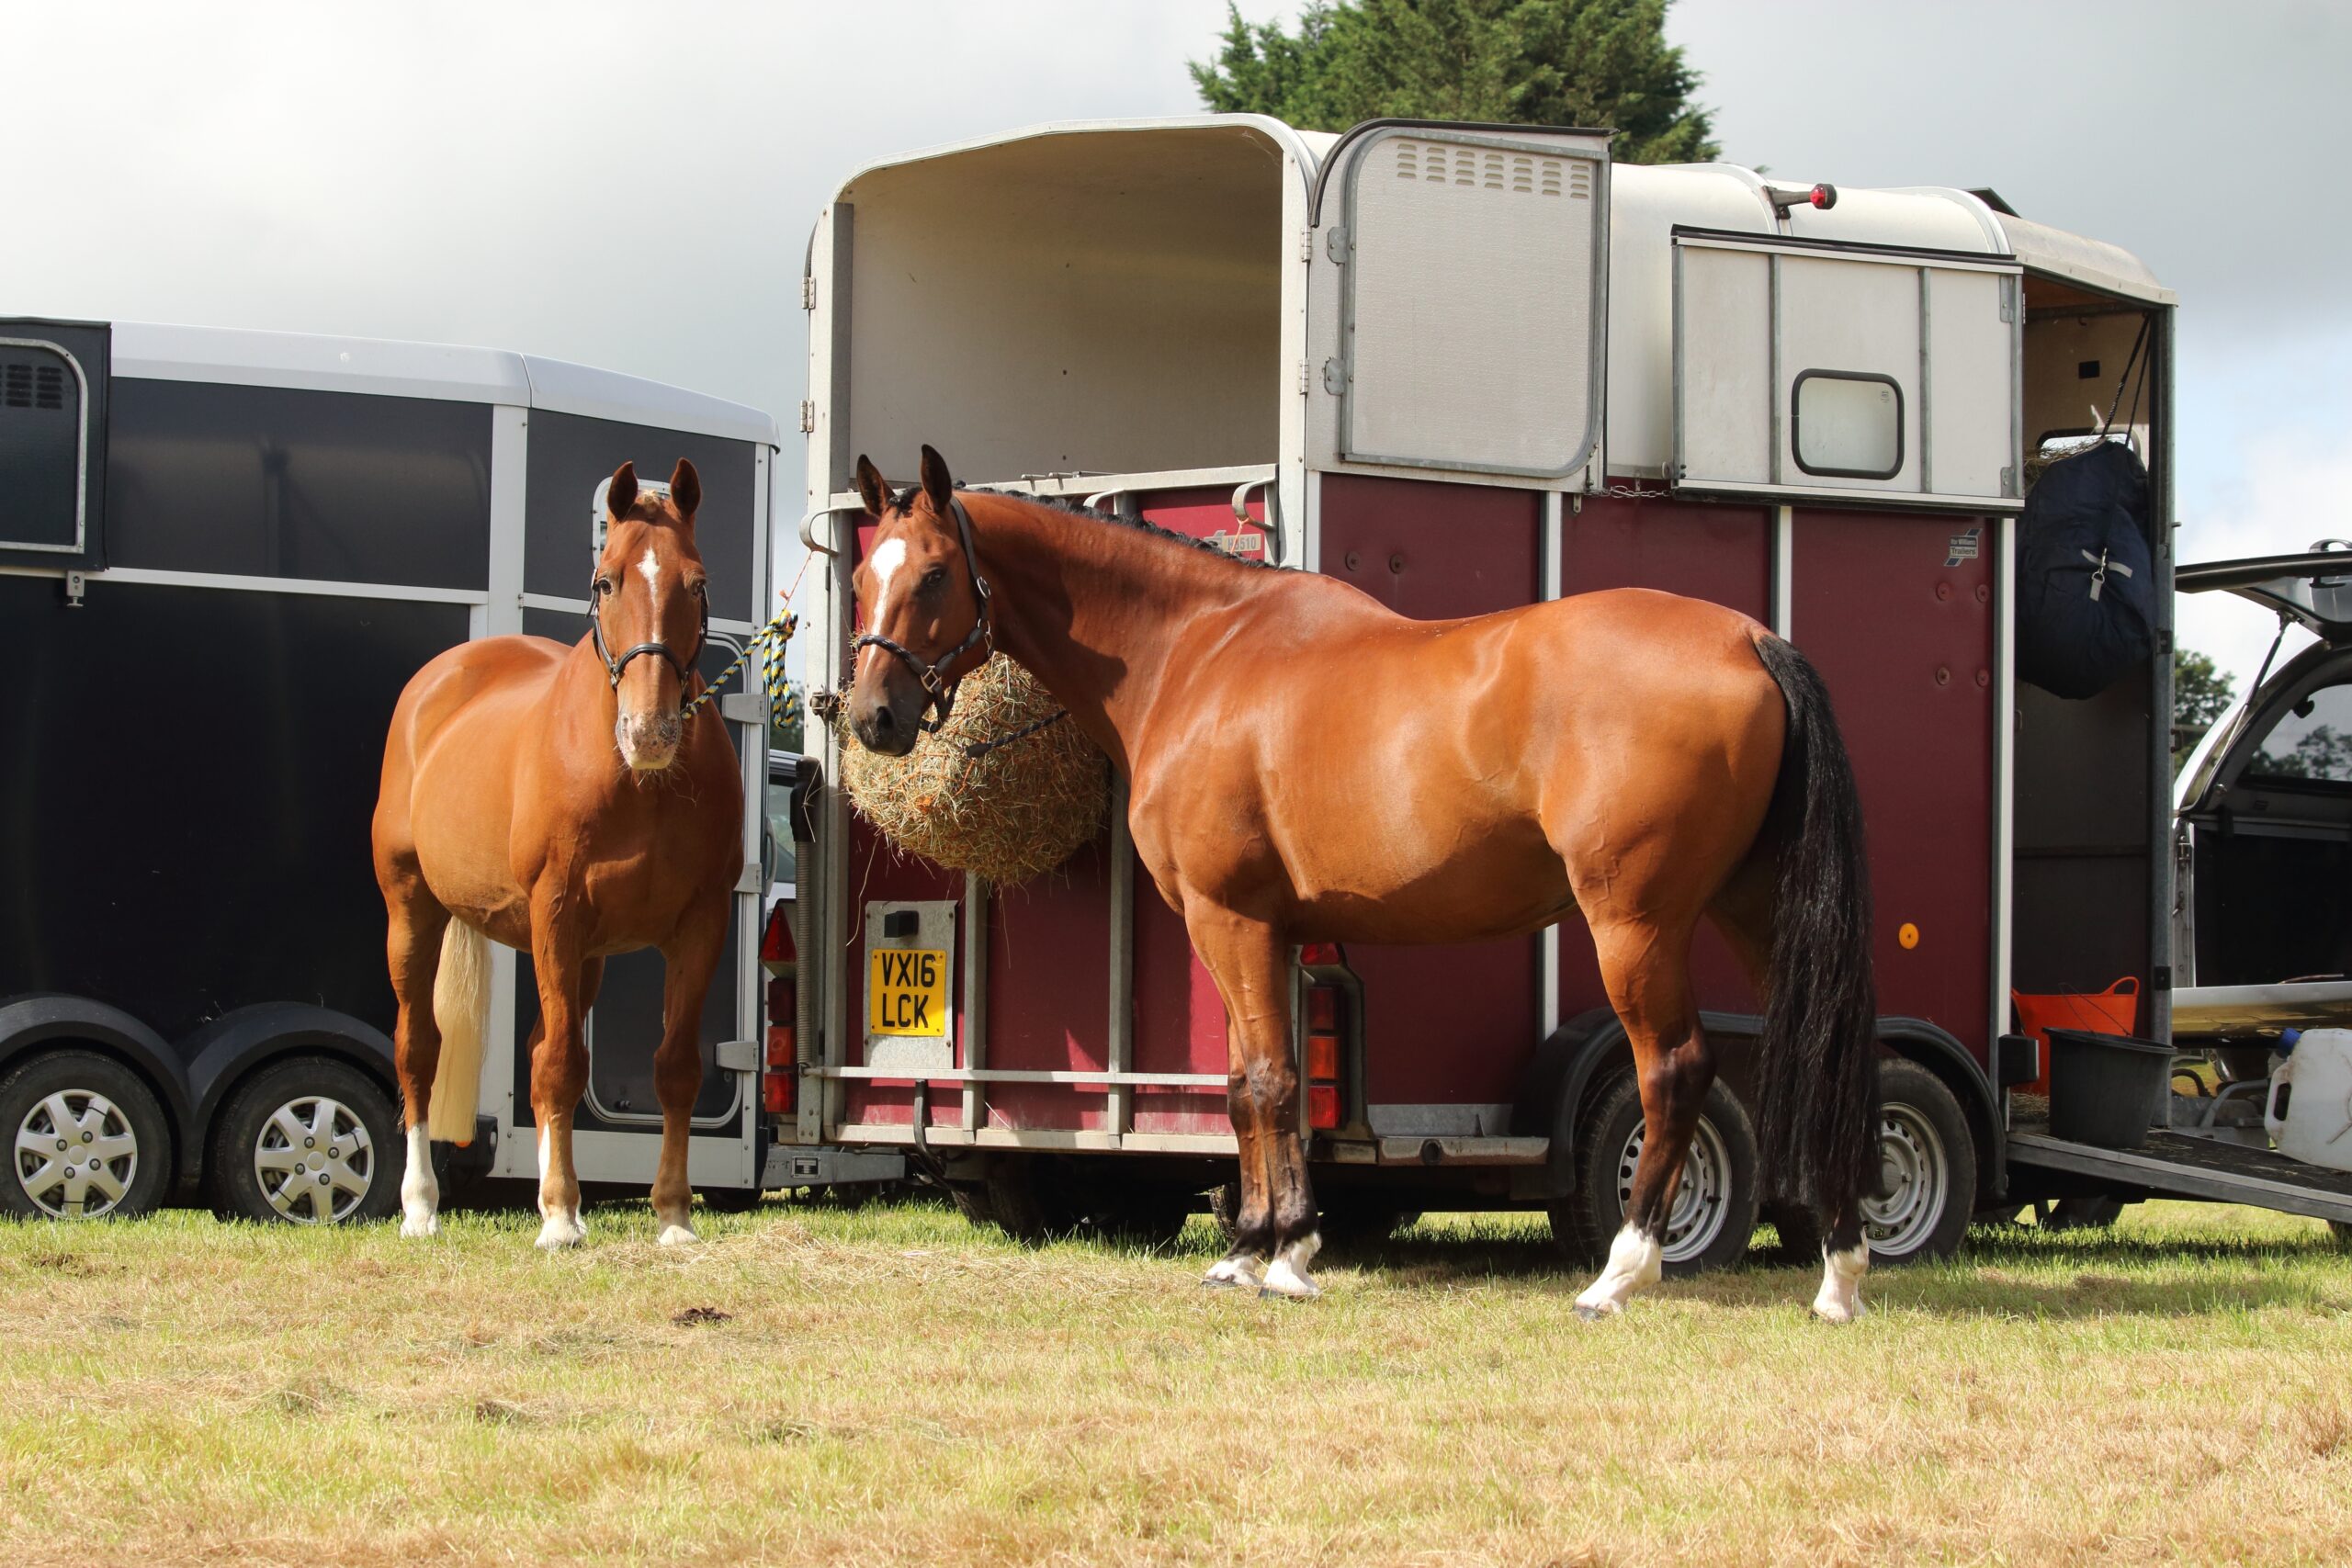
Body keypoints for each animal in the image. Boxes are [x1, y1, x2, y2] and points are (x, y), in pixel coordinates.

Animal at [371, 456, 738, 1250]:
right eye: (606, 580)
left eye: (698, 584)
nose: (650, 730)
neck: (637, 782)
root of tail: (439, 680)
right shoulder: (557, 913)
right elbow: (563, 1064)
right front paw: (563, 1217)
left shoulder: (698, 924)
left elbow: (674, 1067)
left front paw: (670, 1213)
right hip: (415, 913)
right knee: (419, 1048)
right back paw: (421, 1205)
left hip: (583, 956)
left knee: (541, 1044)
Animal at [855, 446, 1882, 1316]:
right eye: (865, 575)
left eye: (935, 575)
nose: (871, 716)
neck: (1196, 653)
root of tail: (1749, 640)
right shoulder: (1255, 928)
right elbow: (1241, 1081)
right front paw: (1248, 1248)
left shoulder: (1229, 919)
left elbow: (1270, 1081)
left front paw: (1286, 1254)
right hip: (1758, 912)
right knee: (1824, 1052)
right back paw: (1839, 1273)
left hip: (1634, 924)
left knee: (1672, 1068)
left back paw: (1620, 1273)